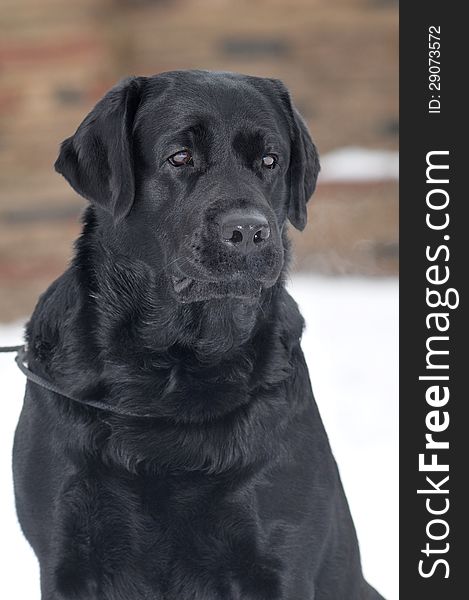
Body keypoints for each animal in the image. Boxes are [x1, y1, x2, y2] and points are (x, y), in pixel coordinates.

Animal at [12, 71, 384, 600]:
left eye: (270, 161)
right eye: (180, 157)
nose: (249, 231)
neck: (175, 367)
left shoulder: (276, 557)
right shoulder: (67, 557)